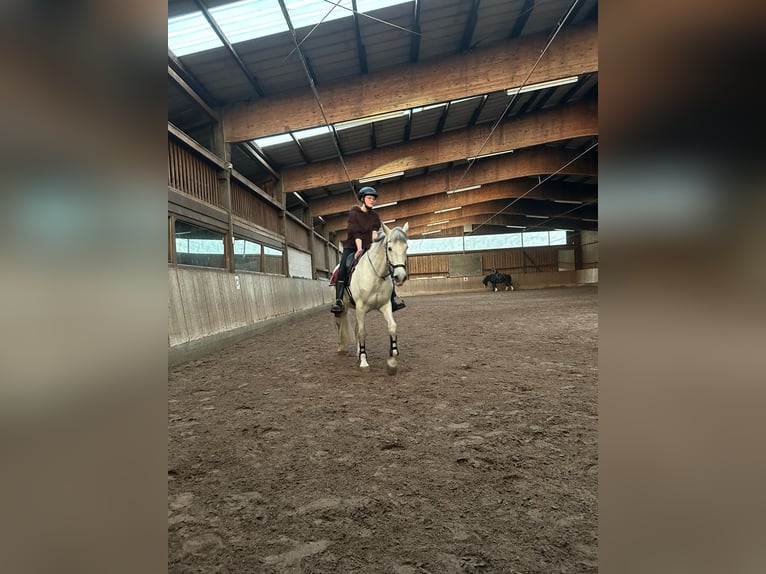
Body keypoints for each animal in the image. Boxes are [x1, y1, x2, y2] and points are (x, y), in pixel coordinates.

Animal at [335, 222, 409, 374]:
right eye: (389, 248)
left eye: (406, 247)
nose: (400, 277)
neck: (375, 275)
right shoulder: (361, 307)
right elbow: (363, 333)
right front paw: (364, 362)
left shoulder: (385, 306)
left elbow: (392, 327)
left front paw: (392, 360)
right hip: (344, 309)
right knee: (340, 325)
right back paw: (341, 347)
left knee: (356, 329)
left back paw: (358, 353)